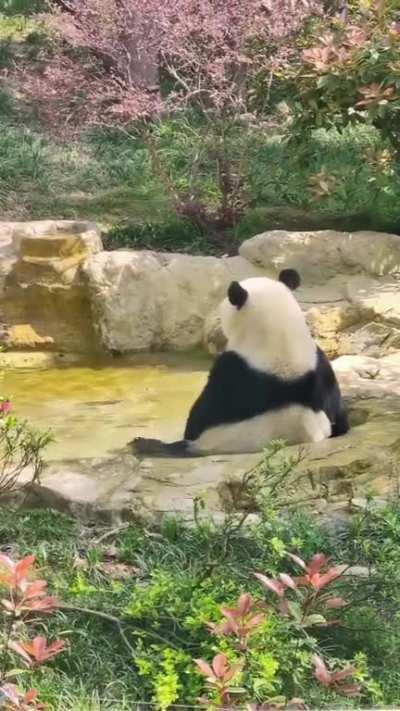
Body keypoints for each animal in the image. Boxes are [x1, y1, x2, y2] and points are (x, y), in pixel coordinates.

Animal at [130, 270, 346, 458]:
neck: (281, 339)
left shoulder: (232, 372)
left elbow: (201, 417)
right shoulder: (320, 364)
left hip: (216, 441)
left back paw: (145, 445)